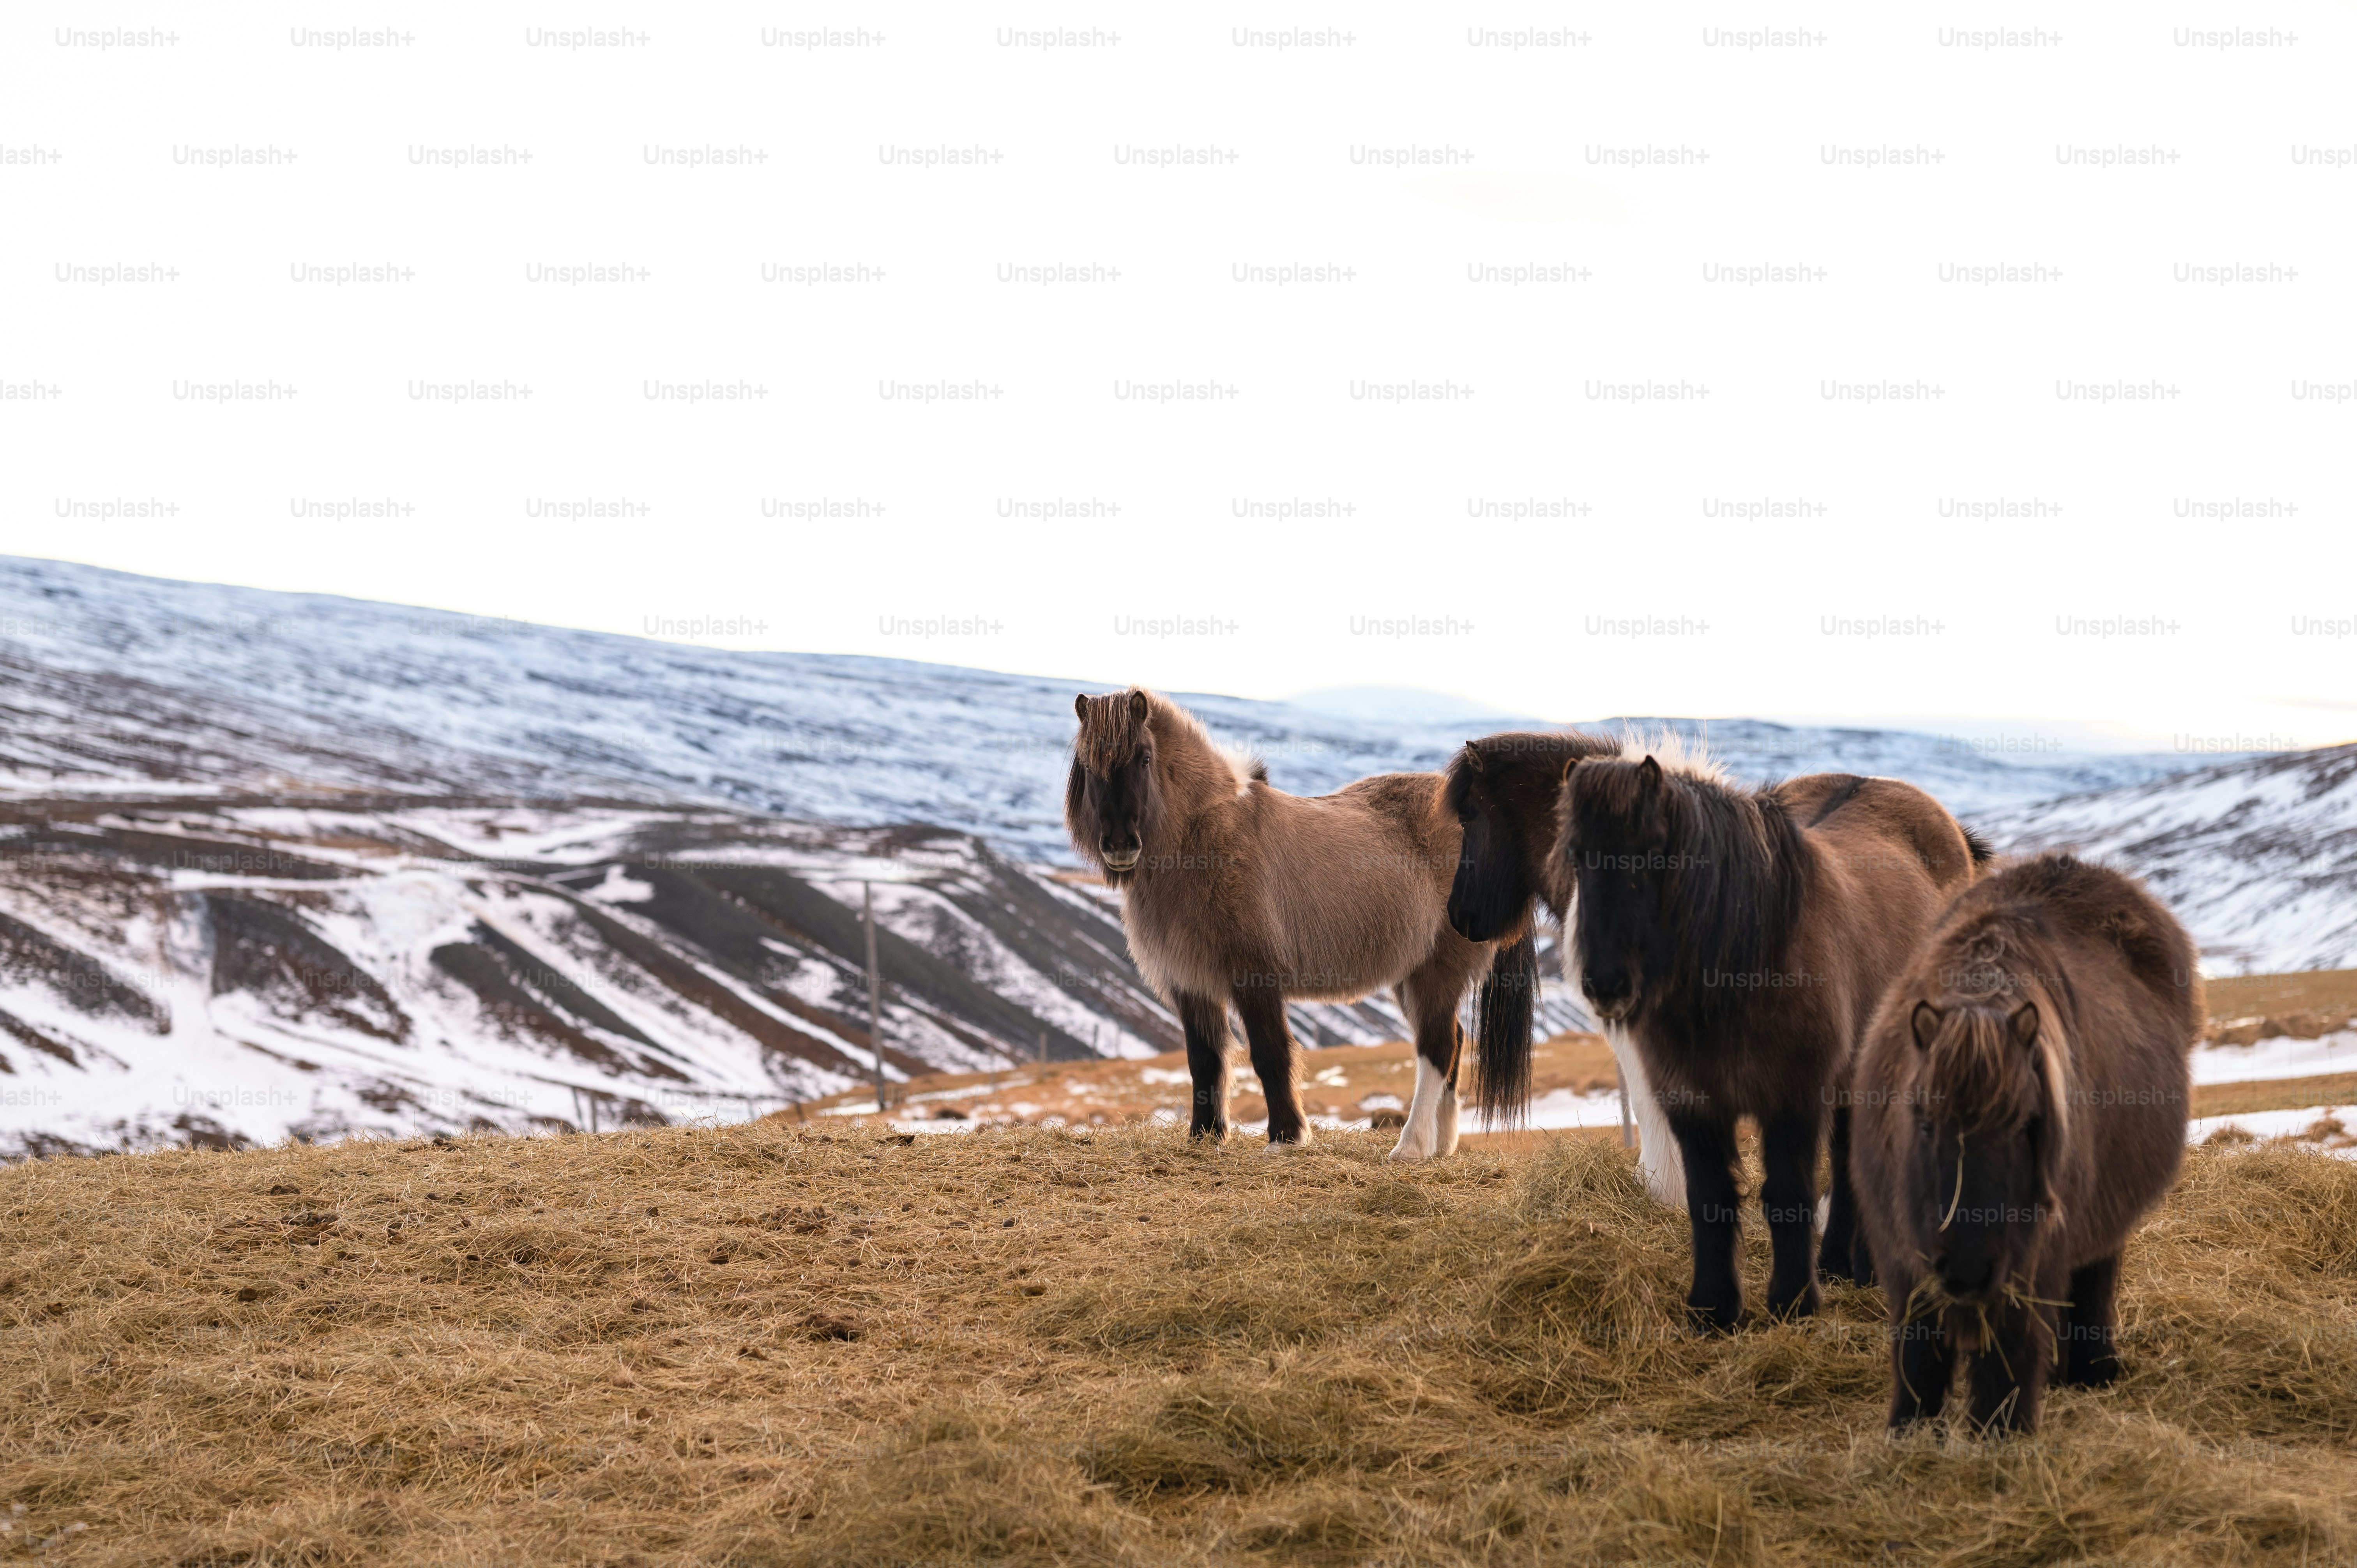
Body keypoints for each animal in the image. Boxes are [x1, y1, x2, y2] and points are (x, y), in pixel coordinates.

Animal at [1066, 688, 1538, 1158]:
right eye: (1088, 764)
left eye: (1145, 758)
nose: (1120, 846)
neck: (1202, 838)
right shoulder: (1189, 981)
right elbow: (1204, 1059)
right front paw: (1205, 1136)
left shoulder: (1254, 975)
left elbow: (1270, 1052)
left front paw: (1285, 1136)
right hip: (1413, 975)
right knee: (1453, 1042)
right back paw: (1440, 1147)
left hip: (1438, 971)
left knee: (1437, 1047)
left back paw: (1408, 1147)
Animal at [1555, 743, 1992, 1330]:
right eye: (1578, 855)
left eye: (1651, 852)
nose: (1605, 984)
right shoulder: (1692, 1102)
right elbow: (1710, 1198)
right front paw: (1713, 1308)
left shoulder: (1793, 1097)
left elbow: (1787, 1195)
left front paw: (1793, 1302)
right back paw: (1837, 1264)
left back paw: (1857, 1269)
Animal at [1854, 851, 2199, 1435]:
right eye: (1923, 1122)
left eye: (2023, 1125)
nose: (1966, 1270)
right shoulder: (1901, 1255)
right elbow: (1917, 1352)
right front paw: (1909, 1432)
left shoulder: (2031, 1259)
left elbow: (2010, 1353)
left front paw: (2001, 1436)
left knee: (2094, 1283)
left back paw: (2092, 1371)